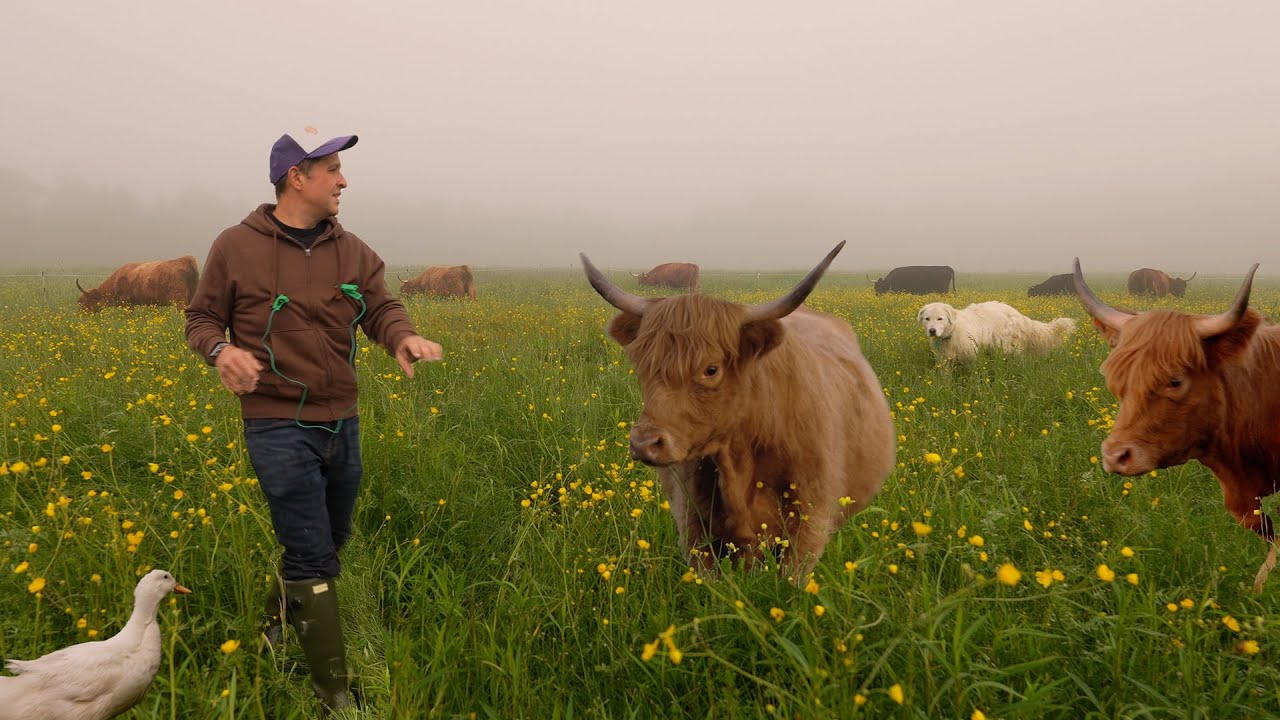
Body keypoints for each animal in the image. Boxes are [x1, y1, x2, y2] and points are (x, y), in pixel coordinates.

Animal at [916, 299, 1075, 361]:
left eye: (940, 319)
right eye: (927, 319)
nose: (932, 331)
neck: (953, 332)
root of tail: (1019, 315)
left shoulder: (971, 355)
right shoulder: (943, 359)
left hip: (1007, 346)